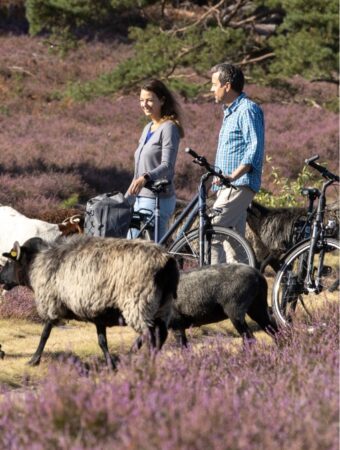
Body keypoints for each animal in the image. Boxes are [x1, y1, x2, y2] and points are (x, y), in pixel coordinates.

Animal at [0, 234, 181, 368]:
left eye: (9, 261)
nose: (0, 277)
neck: (37, 264)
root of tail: (167, 262)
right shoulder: (97, 312)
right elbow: (102, 341)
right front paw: (111, 365)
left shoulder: (52, 302)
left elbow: (45, 333)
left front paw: (34, 360)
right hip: (163, 305)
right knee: (161, 333)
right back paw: (145, 356)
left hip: (138, 302)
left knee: (149, 334)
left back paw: (142, 358)